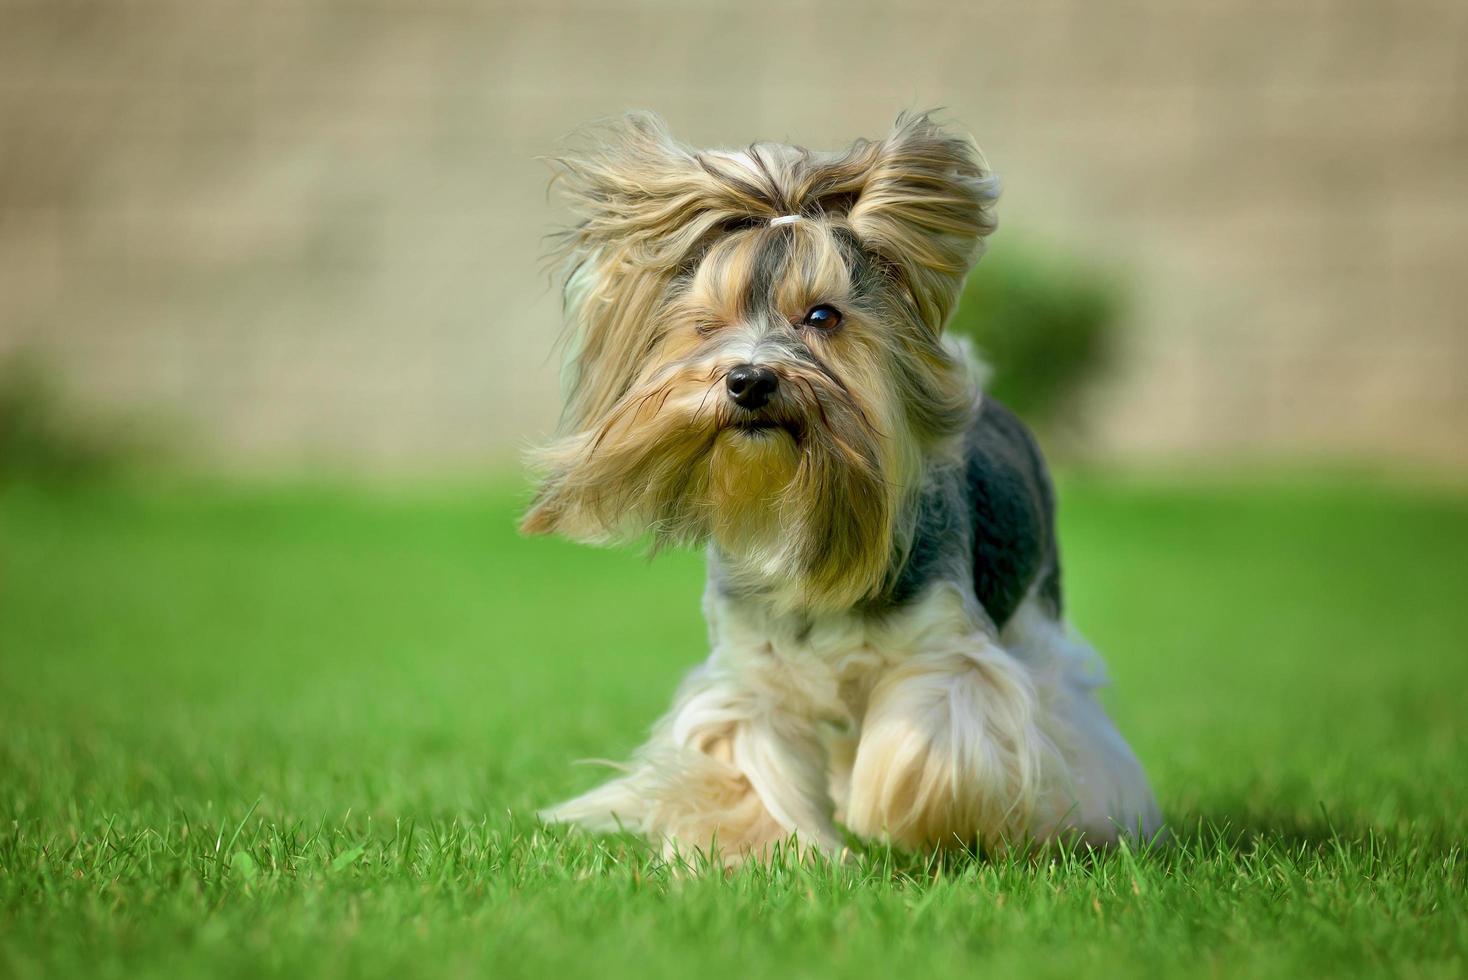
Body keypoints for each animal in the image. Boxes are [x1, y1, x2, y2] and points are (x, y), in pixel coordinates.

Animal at [522, 110, 1162, 856]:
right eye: (706, 325)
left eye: (822, 316)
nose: (748, 380)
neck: (803, 506)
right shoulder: (753, 674)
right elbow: (749, 758)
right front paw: (751, 848)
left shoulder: (945, 652)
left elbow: (925, 746)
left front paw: (888, 813)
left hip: (1035, 613)